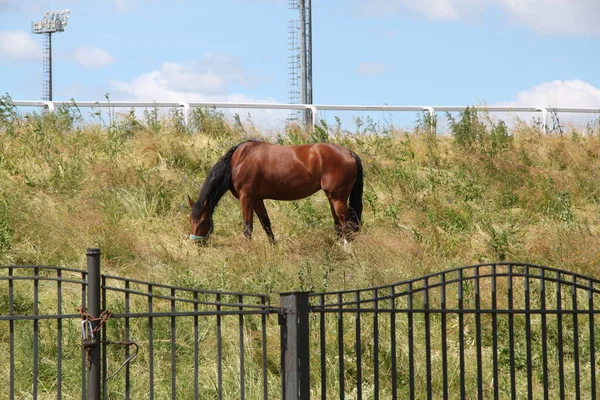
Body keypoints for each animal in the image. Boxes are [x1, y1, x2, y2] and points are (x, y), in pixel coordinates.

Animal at [188, 139, 364, 245]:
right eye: (191, 220)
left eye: (203, 221)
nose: (196, 243)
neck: (237, 161)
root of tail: (351, 154)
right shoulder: (257, 200)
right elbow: (266, 224)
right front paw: (274, 247)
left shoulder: (246, 198)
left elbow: (248, 227)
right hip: (332, 198)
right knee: (339, 225)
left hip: (338, 198)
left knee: (347, 225)